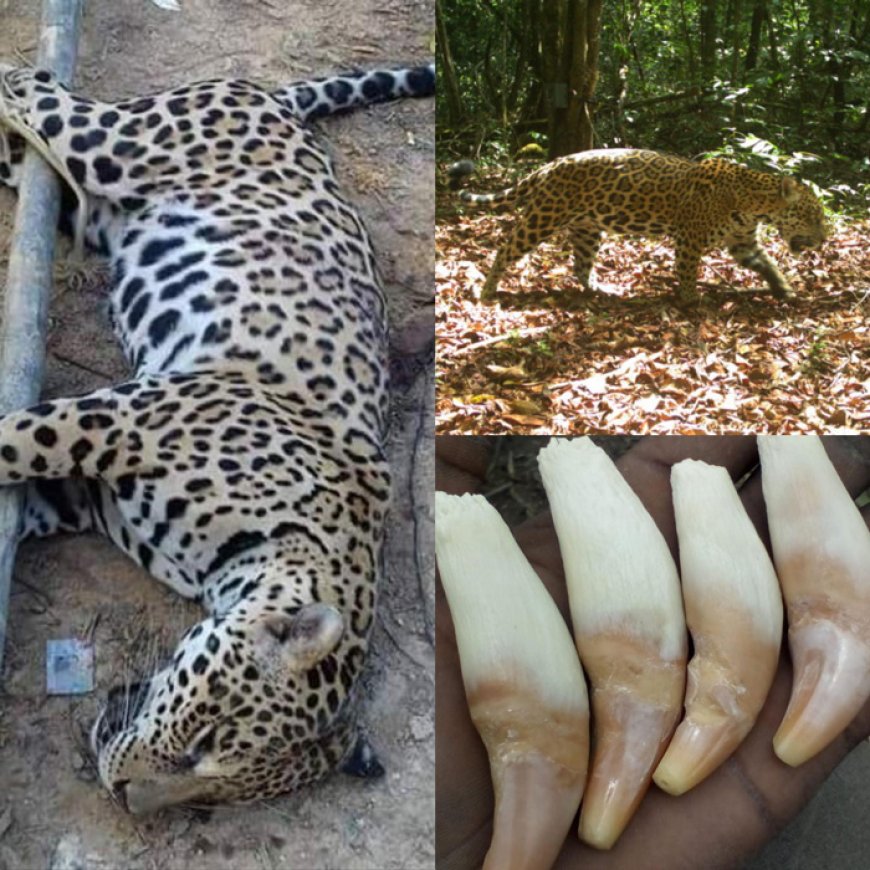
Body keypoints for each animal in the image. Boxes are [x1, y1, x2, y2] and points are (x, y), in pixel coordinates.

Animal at [0, 59, 433, 814]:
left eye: (214, 797)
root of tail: (273, 98)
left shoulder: (86, 491)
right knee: (36, 91)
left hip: (92, 208)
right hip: (124, 143)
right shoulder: (129, 419)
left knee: (23, 158)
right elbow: (18, 438)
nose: (126, 799)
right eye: (203, 738)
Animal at [454, 148, 828, 303]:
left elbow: (767, 264)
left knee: (580, 265)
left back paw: (600, 289)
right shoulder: (690, 238)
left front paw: (784, 289)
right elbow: (687, 270)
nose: (823, 240)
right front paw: (691, 300)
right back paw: (487, 292)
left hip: (588, 228)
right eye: (813, 216)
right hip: (542, 218)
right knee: (505, 249)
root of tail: (548, 166)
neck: (754, 204)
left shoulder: (743, 243)